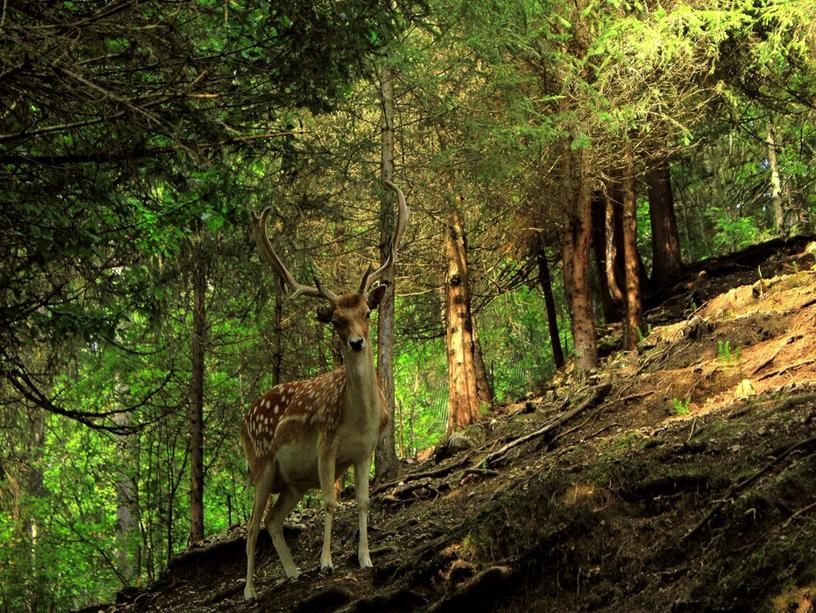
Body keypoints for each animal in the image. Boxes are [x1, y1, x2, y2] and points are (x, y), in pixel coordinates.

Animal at [241, 179, 408, 600]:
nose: (357, 343)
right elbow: (332, 503)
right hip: (261, 465)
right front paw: (327, 563)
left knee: (273, 520)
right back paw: (249, 591)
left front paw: (365, 558)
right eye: (335, 320)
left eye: (367, 311)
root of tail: (244, 418)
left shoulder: (365, 451)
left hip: (292, 482)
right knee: (251, 526)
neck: (359, 420)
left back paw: (292, 572)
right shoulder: (326, 444)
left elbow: (363, 502)